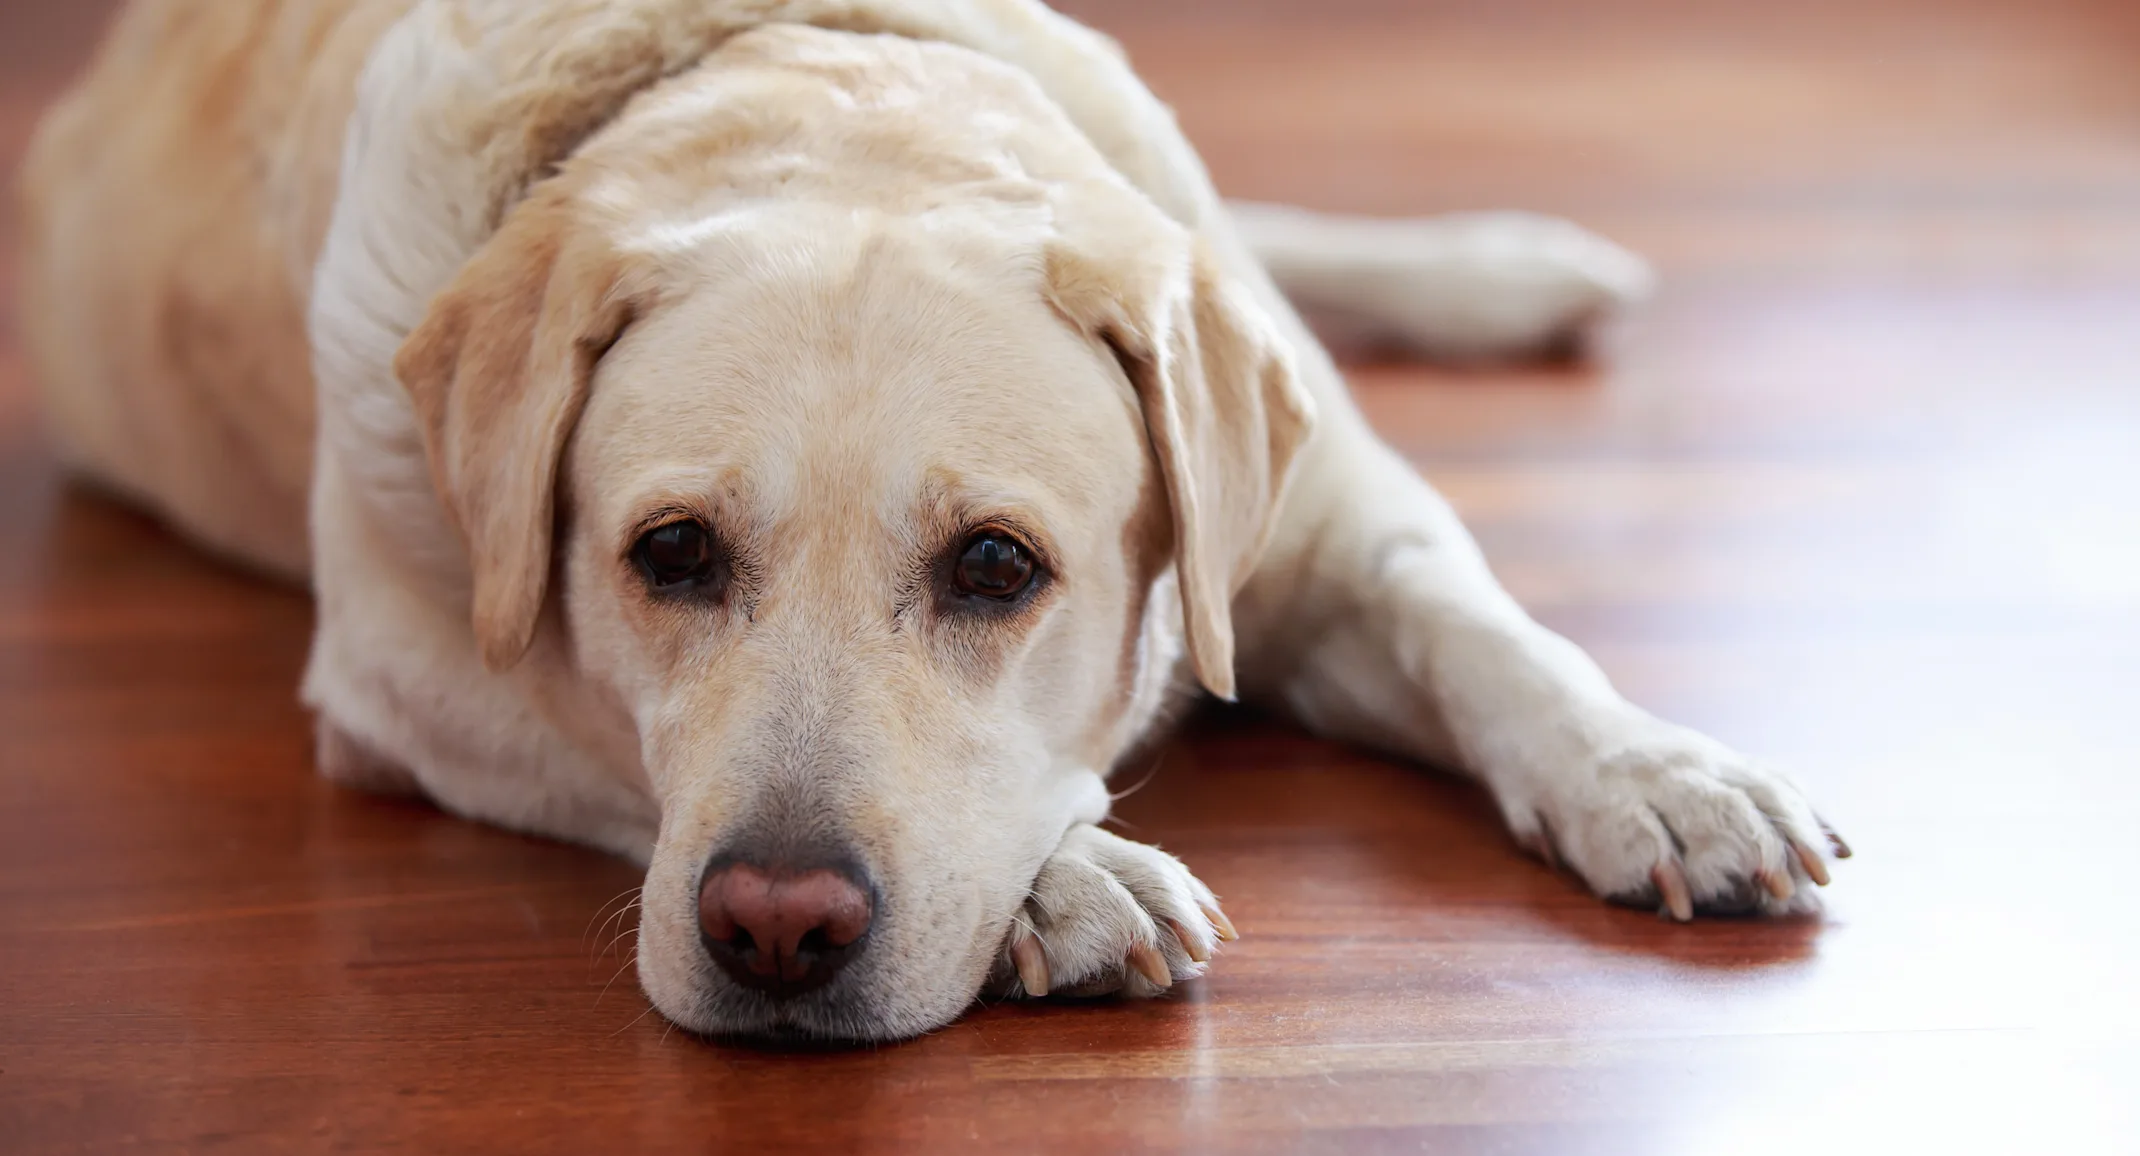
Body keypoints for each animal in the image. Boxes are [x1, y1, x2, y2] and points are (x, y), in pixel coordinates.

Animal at [16, 0, 1840, 1044]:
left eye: (994, 568)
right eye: (671, 556)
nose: (775, 931)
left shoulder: (1331, 537)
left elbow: (1487, 635)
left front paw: (1659, 775)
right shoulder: (410, 686)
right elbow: (616, 744)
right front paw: (1068, 880)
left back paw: (1498, 270)